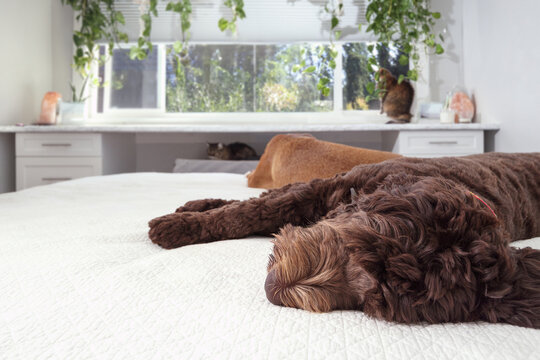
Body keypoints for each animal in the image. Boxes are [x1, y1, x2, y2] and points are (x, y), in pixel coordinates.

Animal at [149, 153, 540, 328]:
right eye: (359, 240)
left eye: (371, 301)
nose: (273, 288)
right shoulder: (318, 190)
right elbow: (247, 212)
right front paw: (177, 226)